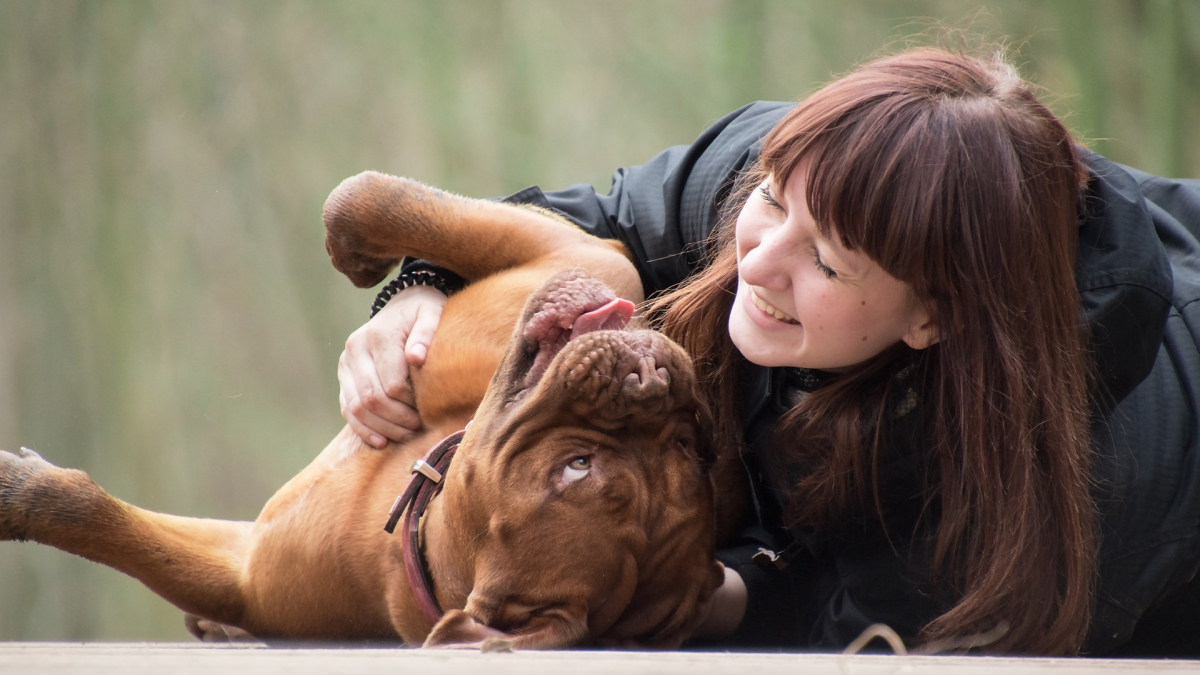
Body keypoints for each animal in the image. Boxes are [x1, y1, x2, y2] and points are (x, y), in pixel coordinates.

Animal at [0, 172, 720, 648]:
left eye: (577, 467)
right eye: (688, 449)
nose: (651, 378)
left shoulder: (245, 574)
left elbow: (100, 519)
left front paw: (19, 491)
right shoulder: (583, 253)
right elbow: (363, 195)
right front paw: (363, 258)